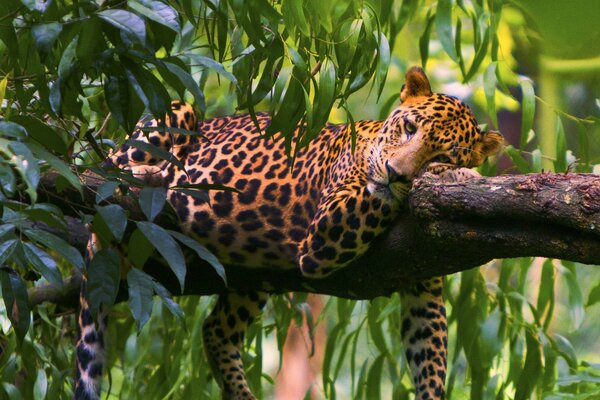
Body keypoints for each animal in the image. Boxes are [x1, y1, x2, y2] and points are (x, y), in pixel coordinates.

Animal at [75, 67, 506, 400]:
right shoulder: (328, 230)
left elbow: (430, 357)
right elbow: (376, 198)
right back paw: (151, 176)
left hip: (252, 272)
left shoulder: (422, 282)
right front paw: (459, 175)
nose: (395, 173)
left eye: (441, 152)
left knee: (215, 329)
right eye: (409, 127)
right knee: (106, 171)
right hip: (173, 114)